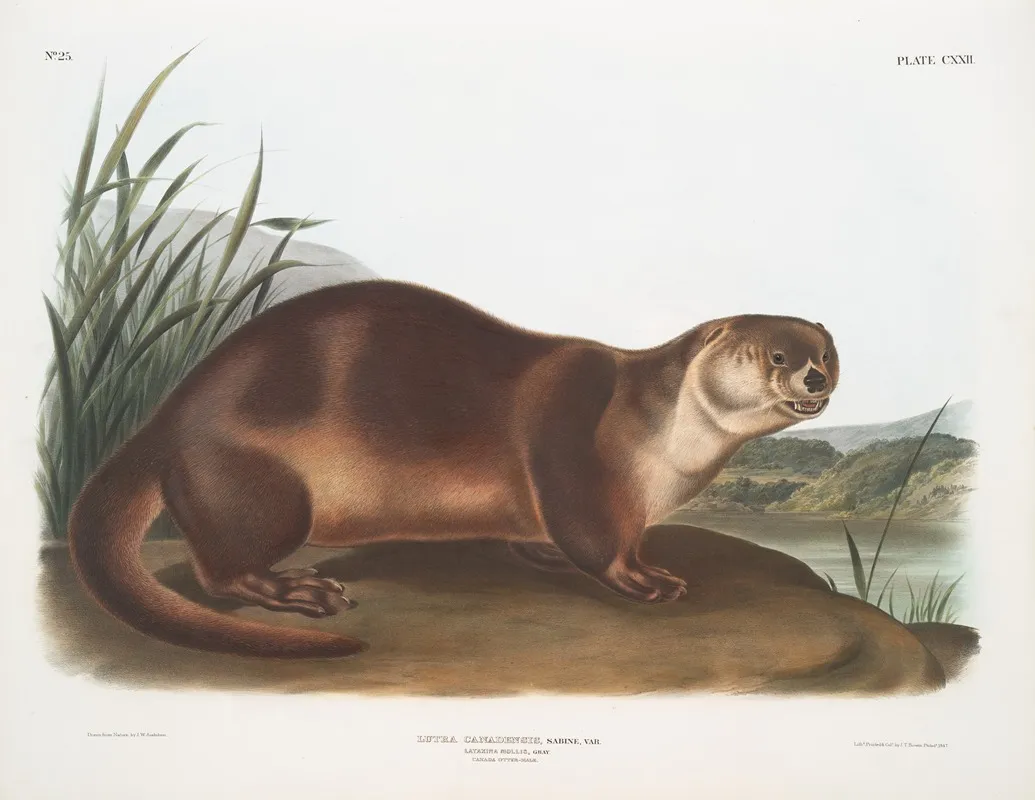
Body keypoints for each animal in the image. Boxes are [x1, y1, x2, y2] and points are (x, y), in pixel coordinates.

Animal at [67, 280, 839, 658]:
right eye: (774, 354)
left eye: (826, 353)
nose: (813, 378)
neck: (662, 440)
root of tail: (166, 419)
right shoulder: (572, 441)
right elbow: (593, 535)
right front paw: (645, 578)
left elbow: (547, 535)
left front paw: (544, 555)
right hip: (259, 482)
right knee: (220, 568)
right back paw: (296, 589)